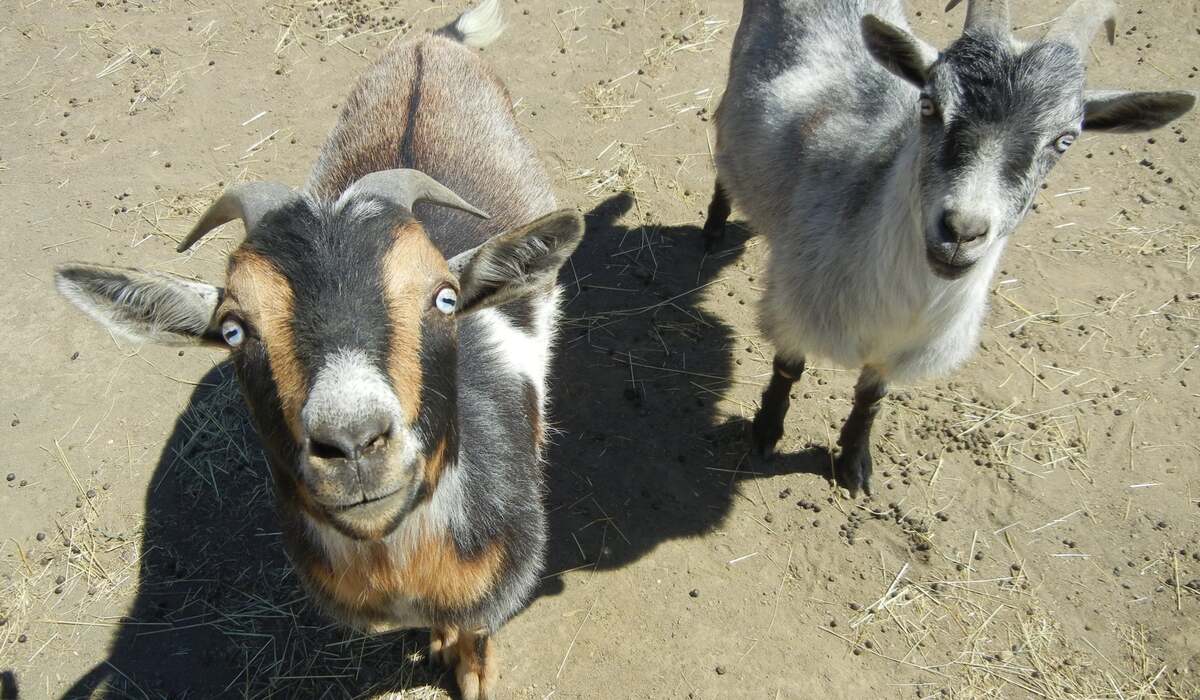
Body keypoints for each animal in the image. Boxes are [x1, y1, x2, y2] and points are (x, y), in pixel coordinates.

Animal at [54, 1, 582, 697]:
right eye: (233, 328)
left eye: (444, 297)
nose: (354, 444)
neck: (399, 562)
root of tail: (428, 45)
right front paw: (441, 645)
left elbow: (473, 629)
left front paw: (468, 668)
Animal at [703, 0, 1195, 497]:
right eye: (928, 104)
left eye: (1064, 139)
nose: (962, 231)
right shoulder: (794, 306)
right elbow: (788, 369)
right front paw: (765, 434)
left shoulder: (902, 350)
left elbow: (871, 397)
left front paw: (854, 463)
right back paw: (714, 230)